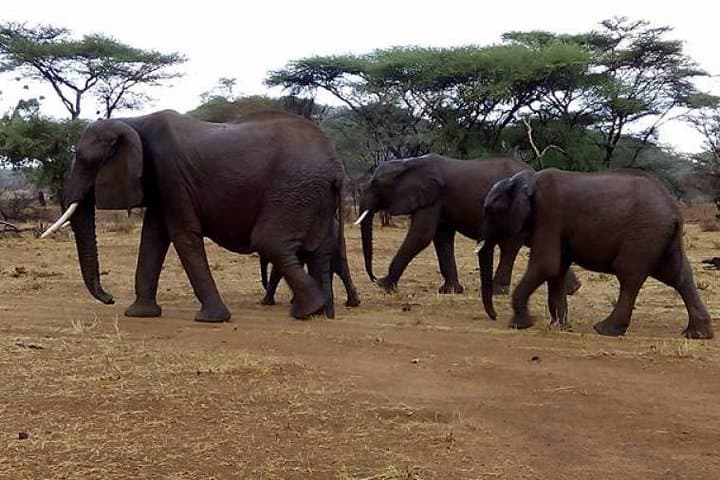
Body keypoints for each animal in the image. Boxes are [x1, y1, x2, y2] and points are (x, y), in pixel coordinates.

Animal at [41, 110, 347, 322]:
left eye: (85, 160)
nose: (110, 298)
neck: (133, 121)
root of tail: (336, 166)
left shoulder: (171, 174)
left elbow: (182, 234)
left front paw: (212, 319)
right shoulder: (160, 183)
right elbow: (153, 236)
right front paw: (140, 314)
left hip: (293, 188)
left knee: (269, 241)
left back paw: (308, 310)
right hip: (311, 195)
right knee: (314, 250)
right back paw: (322, 312)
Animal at [356, 154, 581, 296]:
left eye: (375, 184)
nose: (373, 276)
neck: (408, 163)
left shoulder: (432, 198)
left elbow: (422, 235)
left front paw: (384, 286)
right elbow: (441, 238)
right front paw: (450, 291)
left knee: (509, 246)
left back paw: (497, 291)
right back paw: (572, 289)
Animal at [478, 168, 714, 339]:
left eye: (493, 211)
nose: (494, 316)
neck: (526, 180)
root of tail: (674, 210)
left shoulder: (549, 215)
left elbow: (546, 265)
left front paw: (519, 325)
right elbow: (556, 269)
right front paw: (561, 326)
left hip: (644, 234)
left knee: (629, 276)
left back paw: (605, 330)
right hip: (662, 237)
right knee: (677, 276)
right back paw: (697, 335)